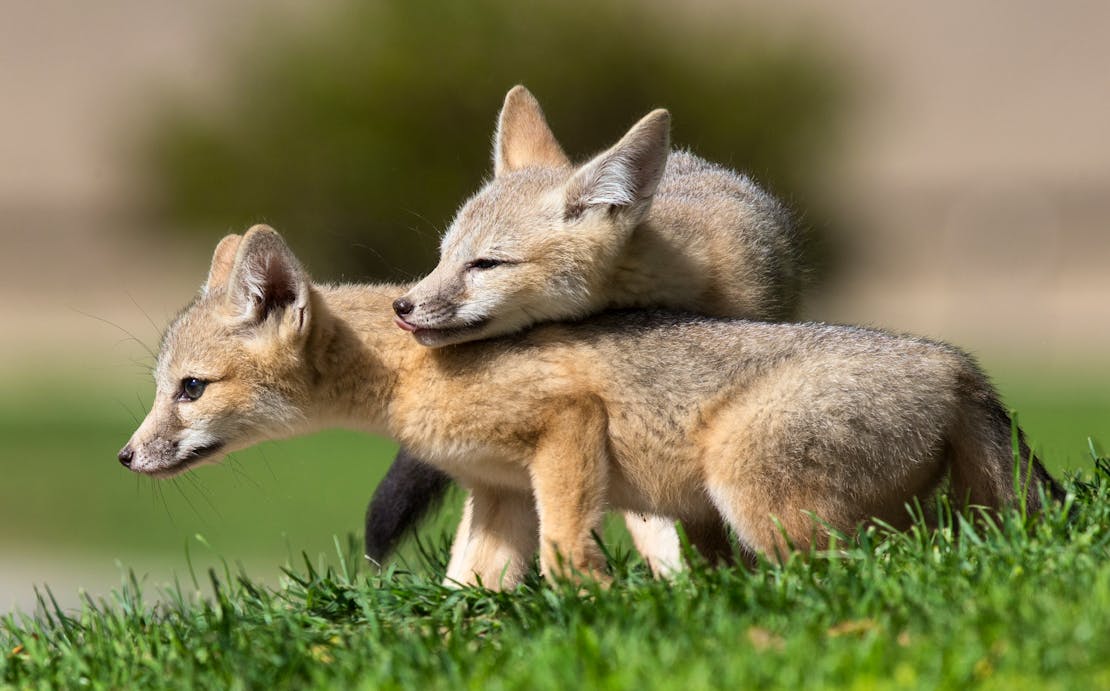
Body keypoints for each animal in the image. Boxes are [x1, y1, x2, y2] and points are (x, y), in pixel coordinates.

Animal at [120, 226, 1063, 590]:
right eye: (160, 389)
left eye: (190, 389)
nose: (126, 457)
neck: (406, 370)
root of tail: (957, 364)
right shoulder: (498, 490)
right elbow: (469, 585)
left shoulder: (567, 424)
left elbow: (570, 549)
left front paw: (598, 604)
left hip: (749, 490)